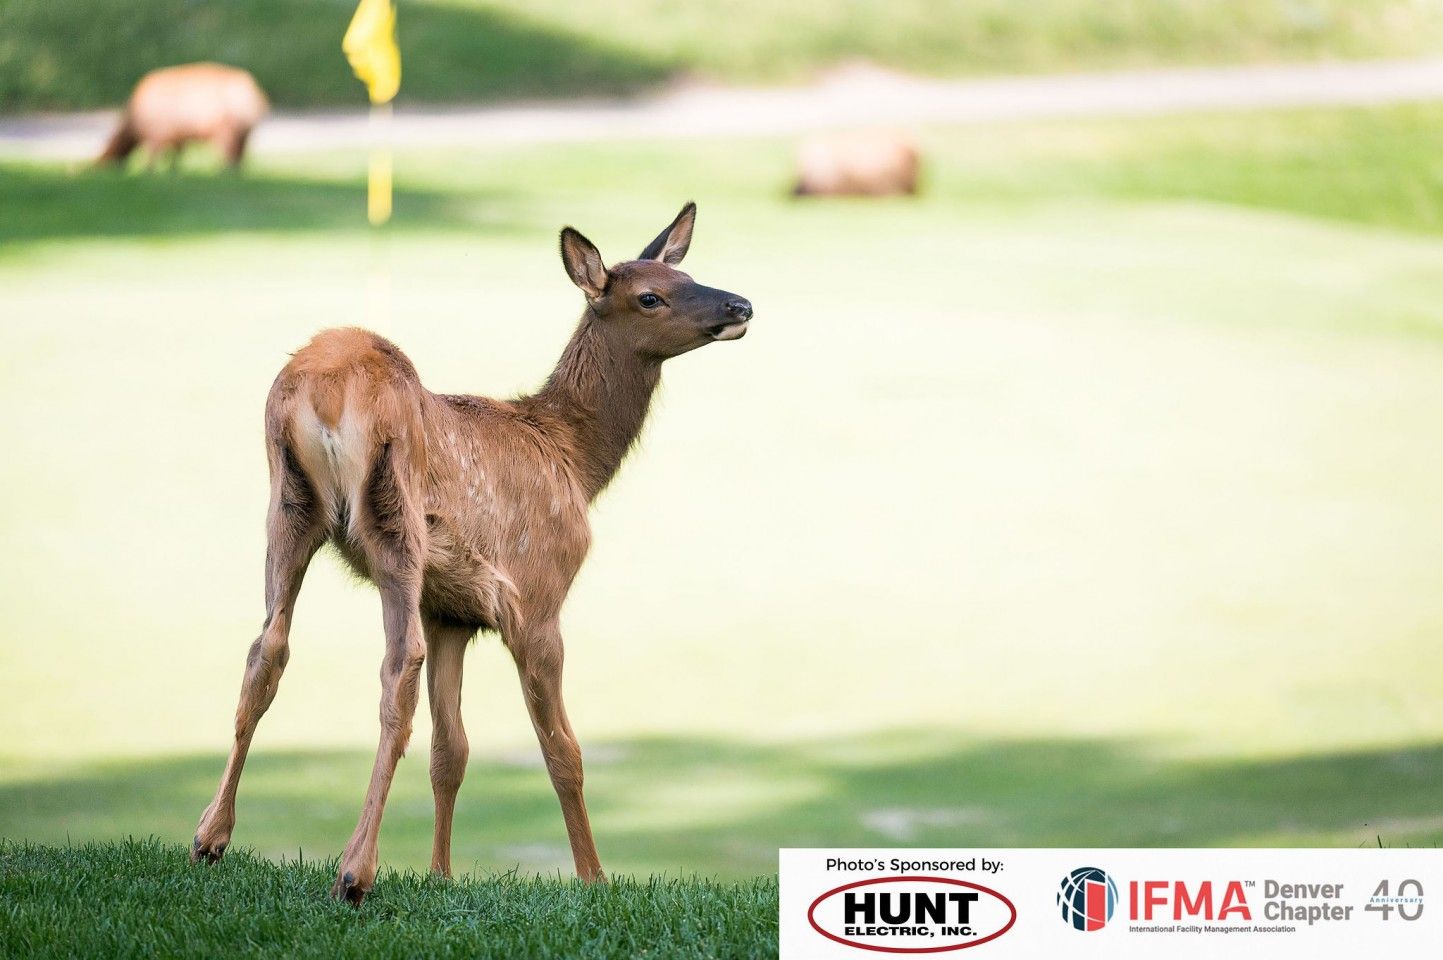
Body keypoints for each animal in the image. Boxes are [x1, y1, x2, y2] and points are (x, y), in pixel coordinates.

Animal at [97, 63, 269, 170]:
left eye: (106, 155)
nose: (97, 166)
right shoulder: (175, 136)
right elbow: (176, 156)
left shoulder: (157, 135)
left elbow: (153, 159)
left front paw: (149, 171)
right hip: (243, 132)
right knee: (239, 157)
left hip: (225, 128)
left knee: (229, 156)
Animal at [189, 203, 751, 904]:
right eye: (650, 296)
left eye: (689, 275)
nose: (740, 304)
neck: (573, 459)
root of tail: (324, 388)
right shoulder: (538, 596)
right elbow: (563, 751)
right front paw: (594, 879)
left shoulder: (450, 611)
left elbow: (450, 751)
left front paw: (440, 874)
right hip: (393, 511)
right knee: (396, 665)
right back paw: (354, 869)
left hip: (288, 505)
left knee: (267, 647)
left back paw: (210, 836)